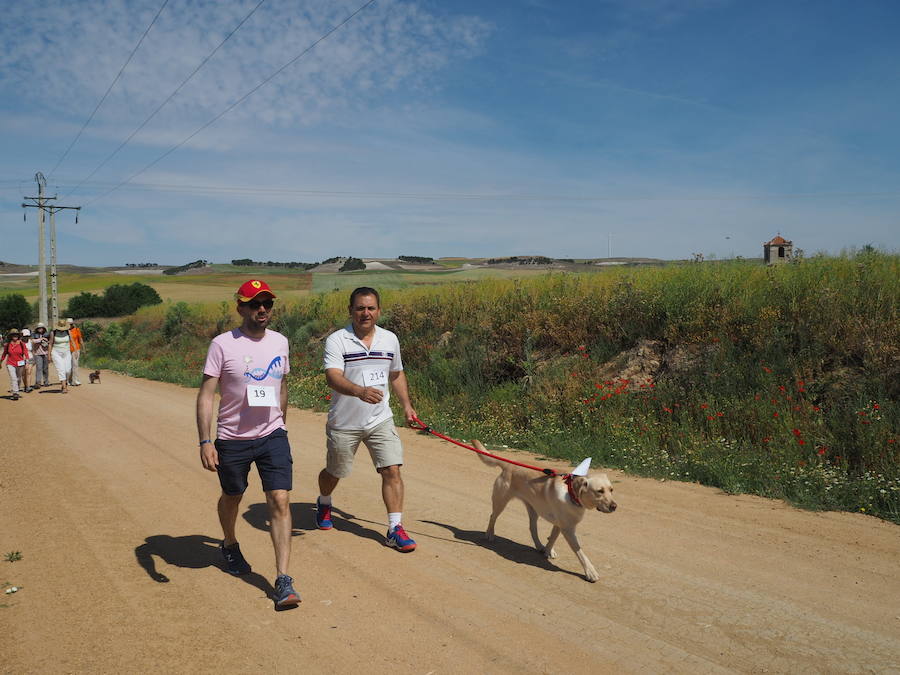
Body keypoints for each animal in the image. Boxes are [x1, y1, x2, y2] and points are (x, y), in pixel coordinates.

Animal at [472, 440, 620, 584]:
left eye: (611, 490)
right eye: (599, 491)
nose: (614, 506)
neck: (571, 493)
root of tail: (509, 465)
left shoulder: (559, 525)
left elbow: (552, 538)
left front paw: (548, 551)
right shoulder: (568, 529)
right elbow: (580, 552)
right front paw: (590, 572)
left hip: (533, 510)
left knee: (532, 529)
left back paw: (539, 546)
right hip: (500, 502)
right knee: (492, 516)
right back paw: (489, 534)